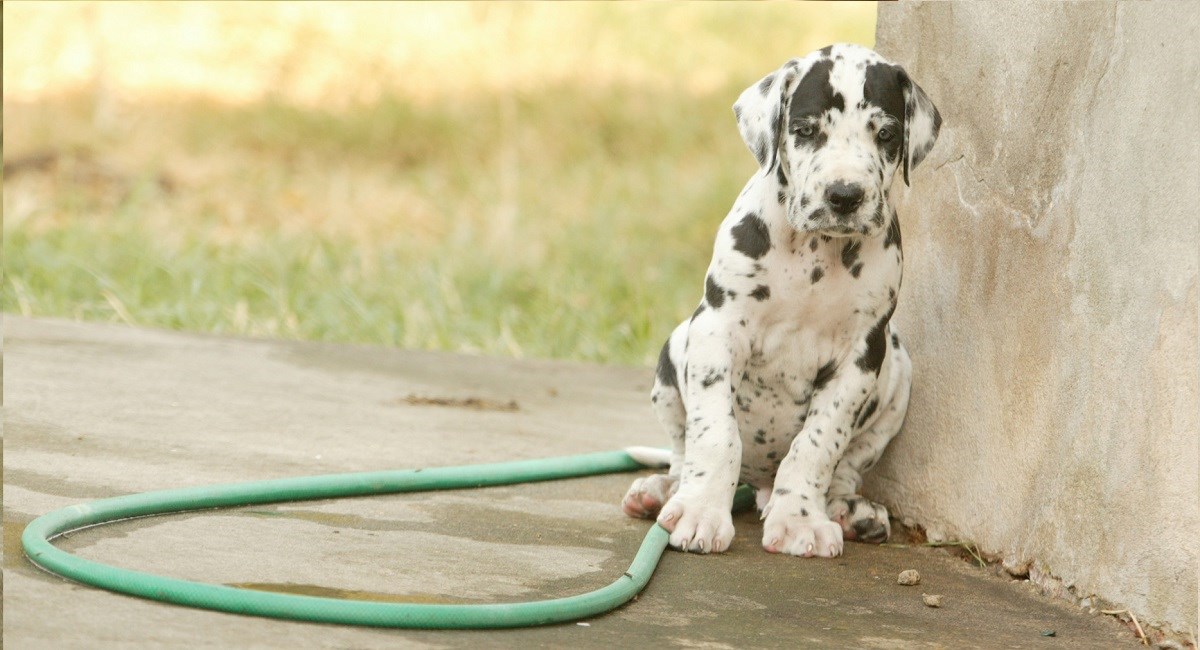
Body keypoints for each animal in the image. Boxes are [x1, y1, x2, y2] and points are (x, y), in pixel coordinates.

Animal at [624, 43, 940, 558]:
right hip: (674, 354)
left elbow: (817, 445)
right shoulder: (717, 330)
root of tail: (757, 485)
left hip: (898, 372)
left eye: (886, 134)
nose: (845, 195)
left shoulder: (861, 356)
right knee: (680, 450)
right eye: (806, 130)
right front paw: (700, 511)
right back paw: (664, 491)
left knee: (846, 467)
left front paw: (800, 520)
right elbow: (716, 435)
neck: (816, 252)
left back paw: (848, 510)